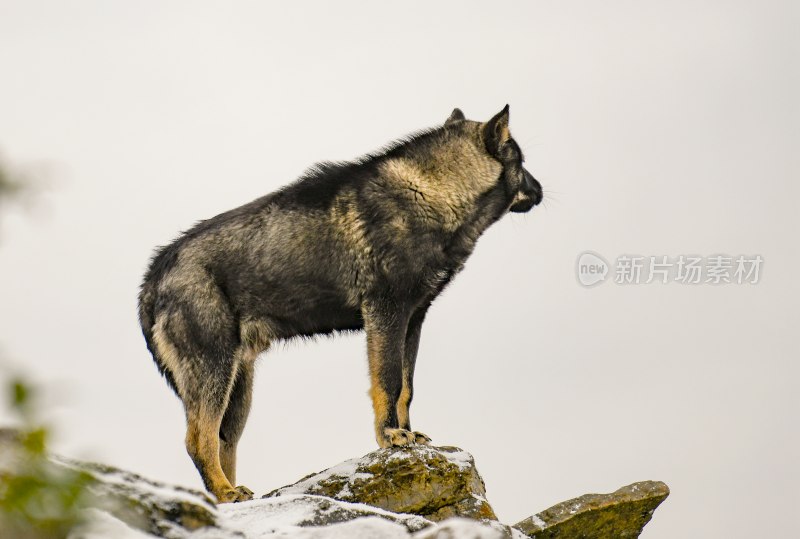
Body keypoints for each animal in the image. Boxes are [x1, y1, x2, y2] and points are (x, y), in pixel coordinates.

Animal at [139, 105, 544, 502]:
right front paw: (390, 437)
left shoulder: (413, 321)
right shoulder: (385, 312)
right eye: (521, 160)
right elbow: (388, 382)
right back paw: (225, 492)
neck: (428, 191)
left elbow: (407, 389)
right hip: (215, 373)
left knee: (222, 441)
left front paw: (410, 434)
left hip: (238, 393)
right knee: (197, 440)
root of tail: (154, 277)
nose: (540, 190)